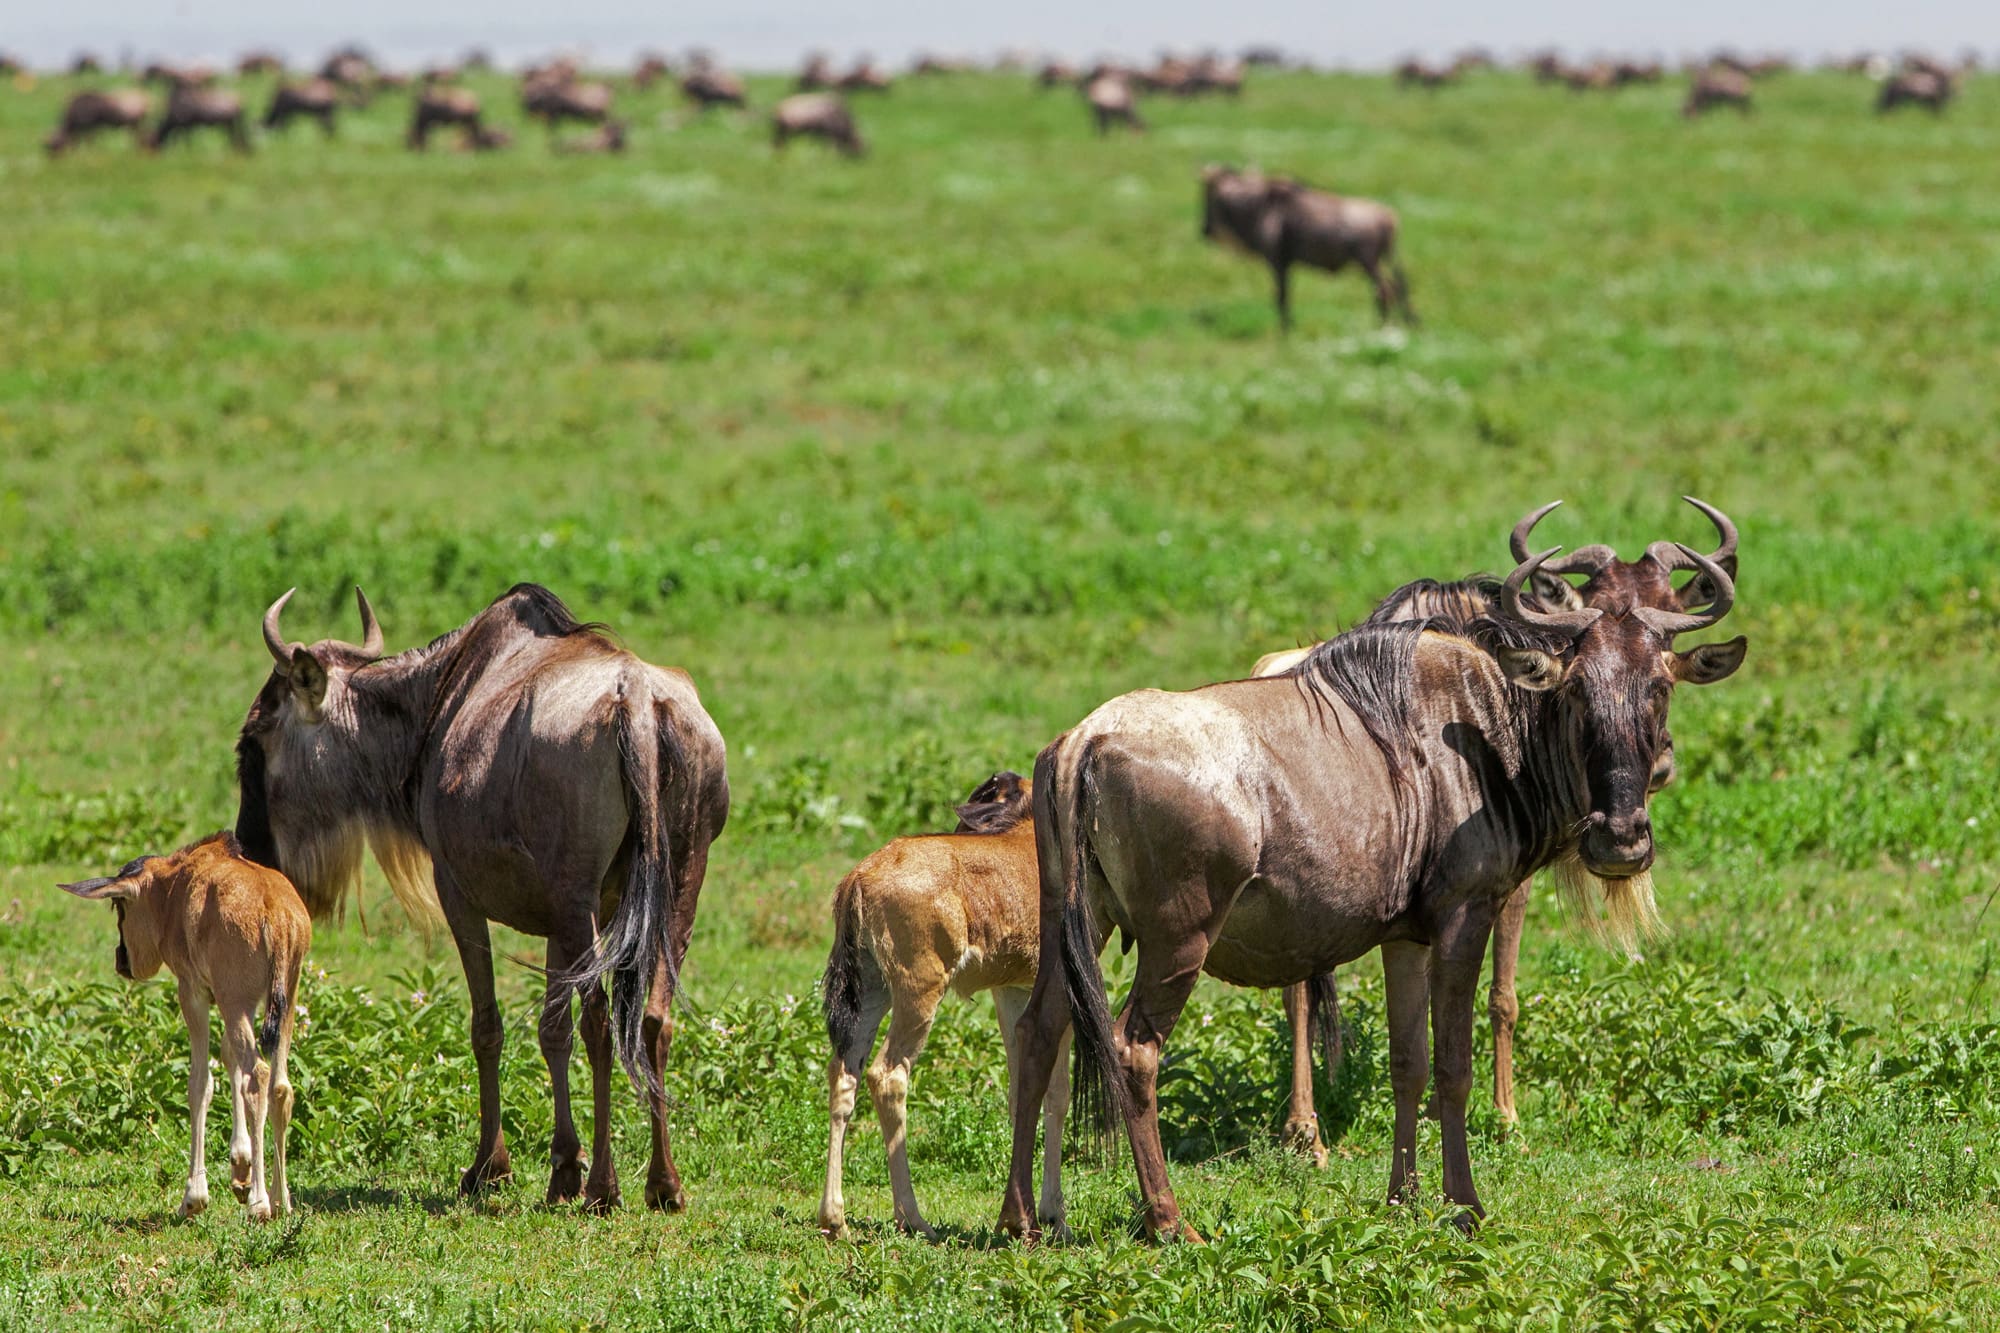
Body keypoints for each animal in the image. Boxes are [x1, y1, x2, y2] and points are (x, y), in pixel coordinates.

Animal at [60, 832, 309, 1223]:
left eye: (119, 905)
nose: (121, 960)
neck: (175, 889)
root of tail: (277, 913)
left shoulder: (194, 992)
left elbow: (200, 1084)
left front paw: (194, 1197)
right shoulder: (244, 1002)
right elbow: (228, 1060)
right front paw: (239, 1166)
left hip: (236, 1001)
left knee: (258, 1076)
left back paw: (259, 1203)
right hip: (285, 1001)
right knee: (280, 1086)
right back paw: (281, 1200)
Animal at [234, 583, 729, 1211]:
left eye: (256, 737)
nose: (247, 846)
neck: (433, 709)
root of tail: (637, 702)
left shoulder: (459, 894)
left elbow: (487, 1026)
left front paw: (490, 1168)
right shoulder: (561, 919)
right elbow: (551, 1031)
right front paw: (562, 1169)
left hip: (581, 898)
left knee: (598, 1021)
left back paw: (605, 1187)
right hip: (677, 890)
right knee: (653, 1020)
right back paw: (663, 1184)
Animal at [818, 772, 1071, 1240]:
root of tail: (860, 876)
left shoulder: (1013, 990)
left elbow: (1021, 1090)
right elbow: (1056, 1093)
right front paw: (1053, 1216)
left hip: (872, 991)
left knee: (844, 1072)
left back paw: (835, 1220)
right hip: (919, 992)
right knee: (888, 1075)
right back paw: (913, 1219)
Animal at [997, 511, 1745, 1242]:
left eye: (1660, 686)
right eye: (1577, 688)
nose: (1621, 839)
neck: (1490, 727)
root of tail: (1086, 740)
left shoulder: (1404, 936)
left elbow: (1406, 1062)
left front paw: (1401, 1199)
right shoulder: (1467, 913)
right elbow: (1452, 1065)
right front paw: (1465, 1206)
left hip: (1075, 922)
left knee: (1037, 1032)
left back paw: (1020, 1218)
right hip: (1177, 940)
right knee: (1134, 1049)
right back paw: (1170, 1221)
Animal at [1201, 165, 1416, 330]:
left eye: (1207, 196)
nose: (1205, 230)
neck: (1262, 208)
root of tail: (1390, 218)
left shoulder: (1277, 260)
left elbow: (1281, 297)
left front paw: (1285, 331)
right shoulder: (1286, 263)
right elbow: (1285, 296)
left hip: (1368, 260)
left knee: (1384, 290)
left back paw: (1382, 326)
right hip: (1378, 260)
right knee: (1395, 287)